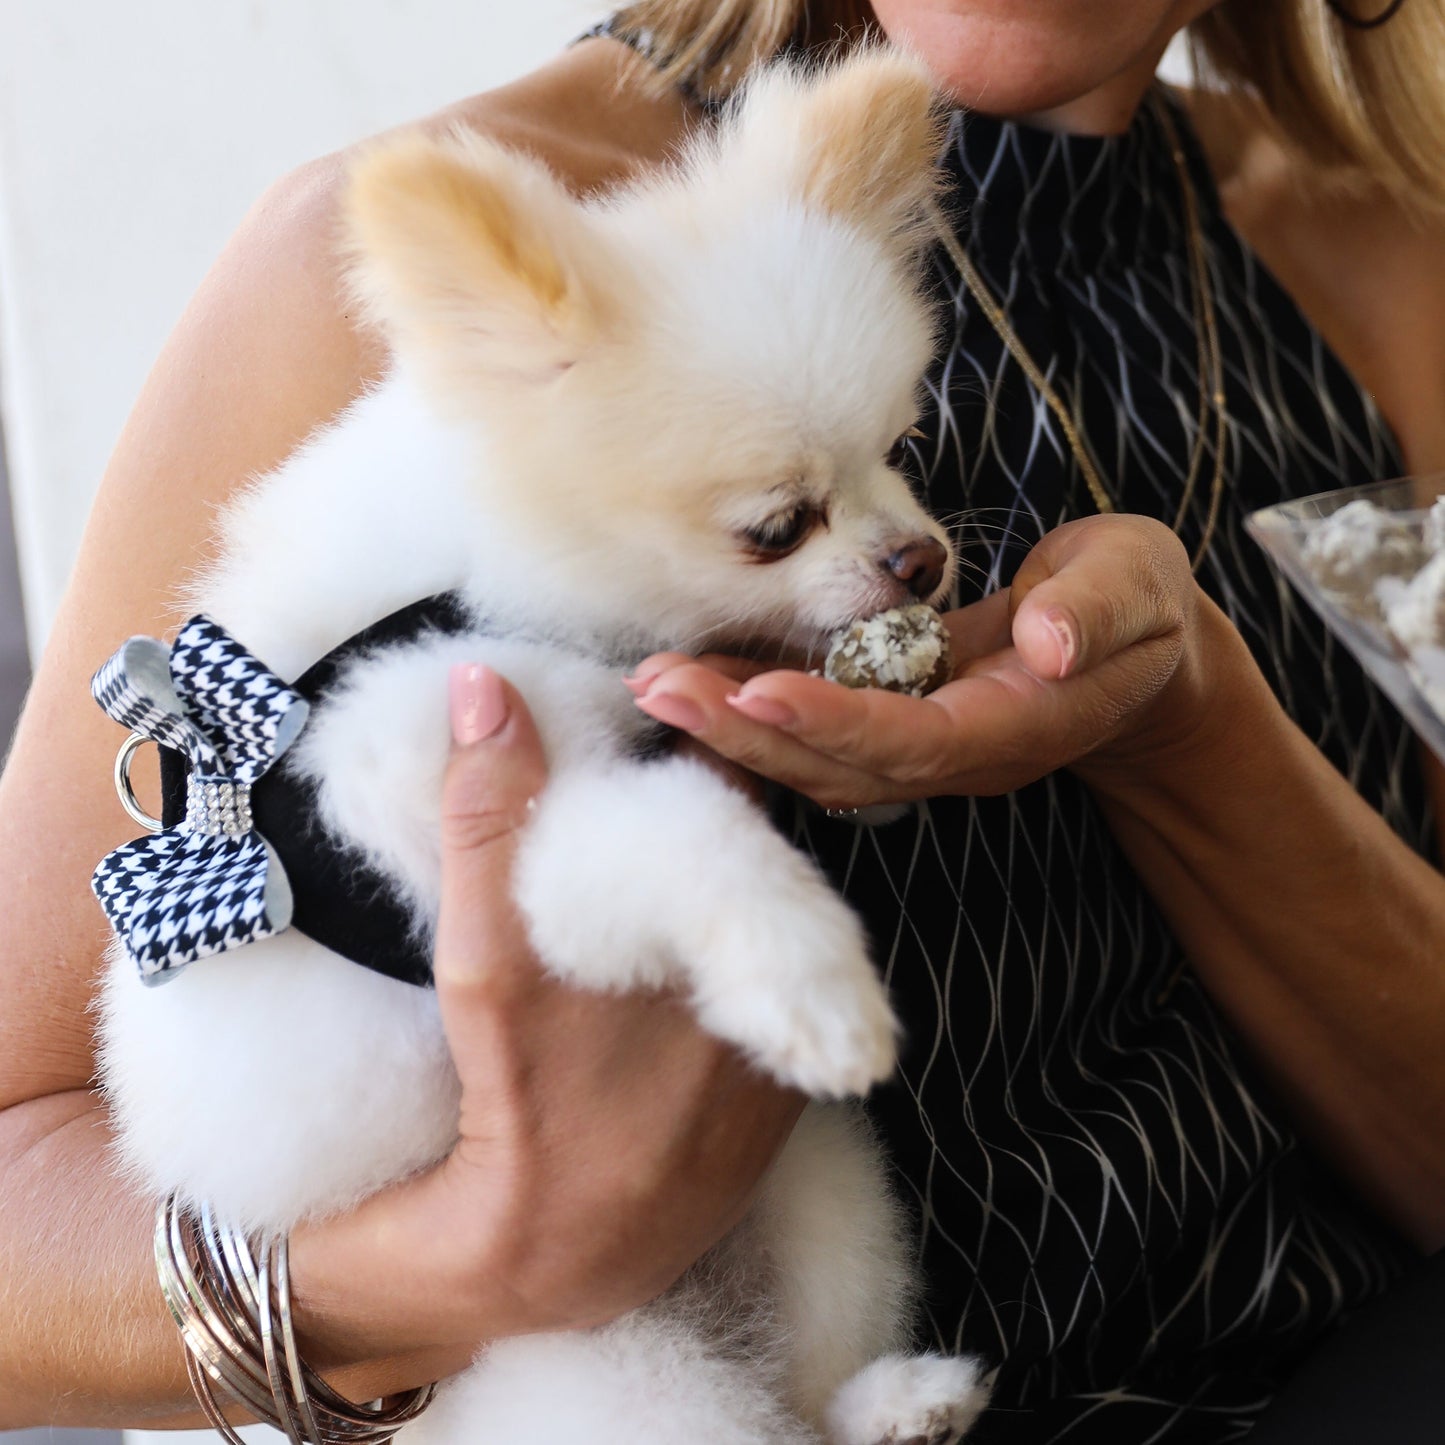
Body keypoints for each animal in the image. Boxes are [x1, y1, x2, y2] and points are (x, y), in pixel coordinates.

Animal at [96, 45, 988, 1445]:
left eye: (898, 447)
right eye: (774, 526)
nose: (922, 558)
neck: (490, 556)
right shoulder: (444, 784)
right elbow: (679, 827)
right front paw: (802, 974)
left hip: (825, 1198)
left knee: (805, 1392)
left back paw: (897, 1404)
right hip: (614, 1370)